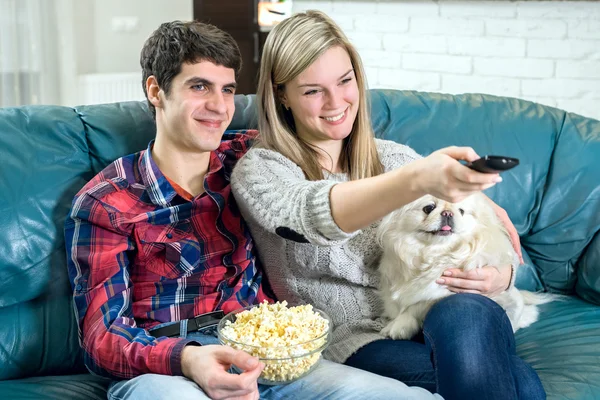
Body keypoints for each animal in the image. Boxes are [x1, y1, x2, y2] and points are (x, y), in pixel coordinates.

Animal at [378, 192, 552, 340]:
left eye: (461, 211)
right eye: (429, 208)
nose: (448, 213)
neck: (435, 253)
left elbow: (419, 303)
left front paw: (399, 326)